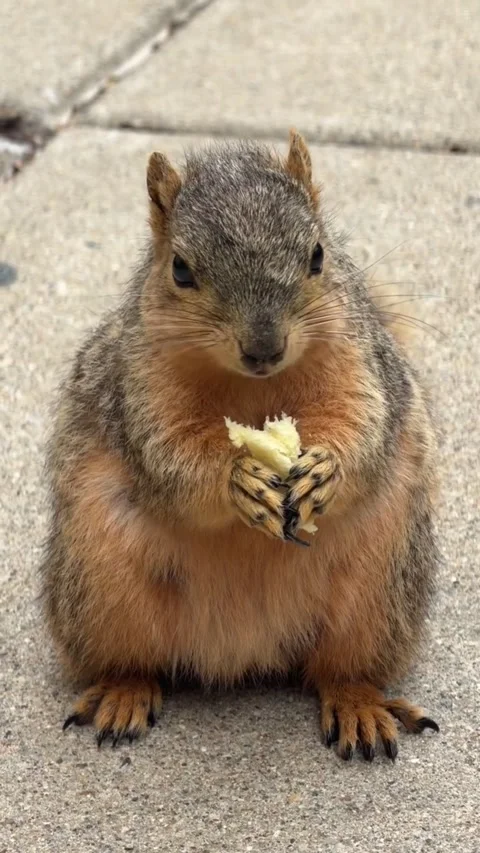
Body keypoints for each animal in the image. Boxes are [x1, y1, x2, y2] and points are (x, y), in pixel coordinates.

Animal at [41, 131, 440, 761]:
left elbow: (362, 422)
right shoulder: (140, 386)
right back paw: (123, 694)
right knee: (133, 660)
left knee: (340, 668)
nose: (264, 348)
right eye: (180, 270)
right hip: (99, 579)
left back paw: (360, 704)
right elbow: (170, 458)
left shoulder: (359, 358)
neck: (254, 390)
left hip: (381, 585)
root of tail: (243, 651)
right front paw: (238, 479)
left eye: (318, 255)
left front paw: (325, 468)